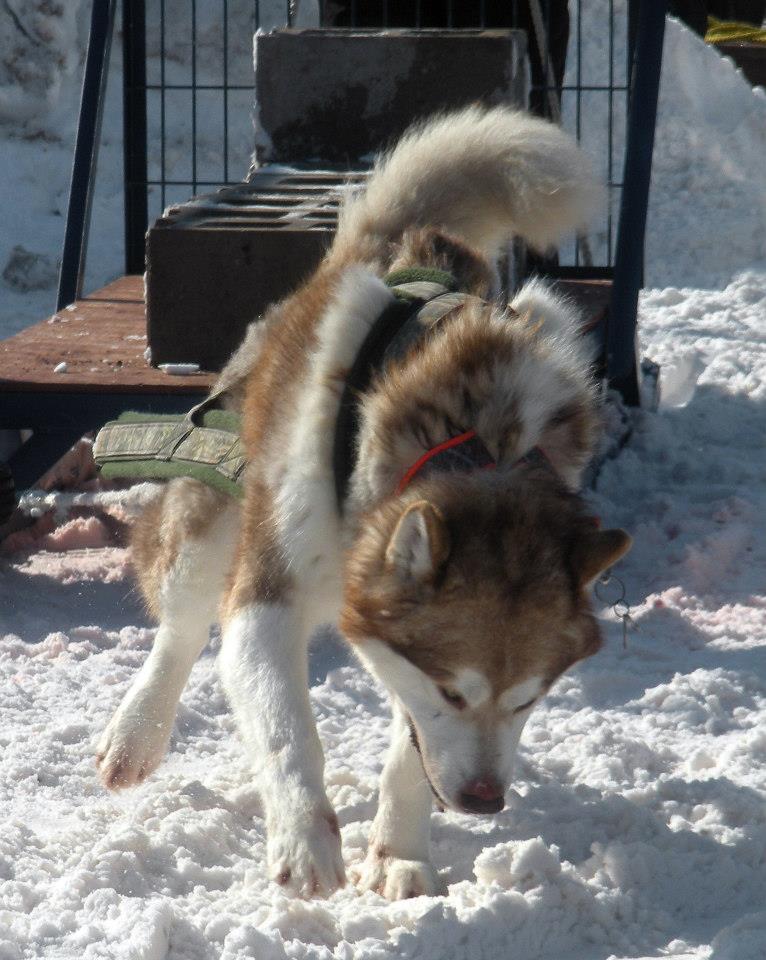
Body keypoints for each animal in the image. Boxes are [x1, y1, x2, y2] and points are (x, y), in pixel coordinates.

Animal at [96, 109, 632, 904]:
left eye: (530, 699)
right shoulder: (267, 602)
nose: (484, 801)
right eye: (453, 691)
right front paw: (306, 839)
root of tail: (402, 247)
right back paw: (136, 732)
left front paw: (400, 851)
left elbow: (410, 753)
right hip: (220, 506)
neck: (474, 438)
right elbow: (288, 731)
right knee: (183, 625)